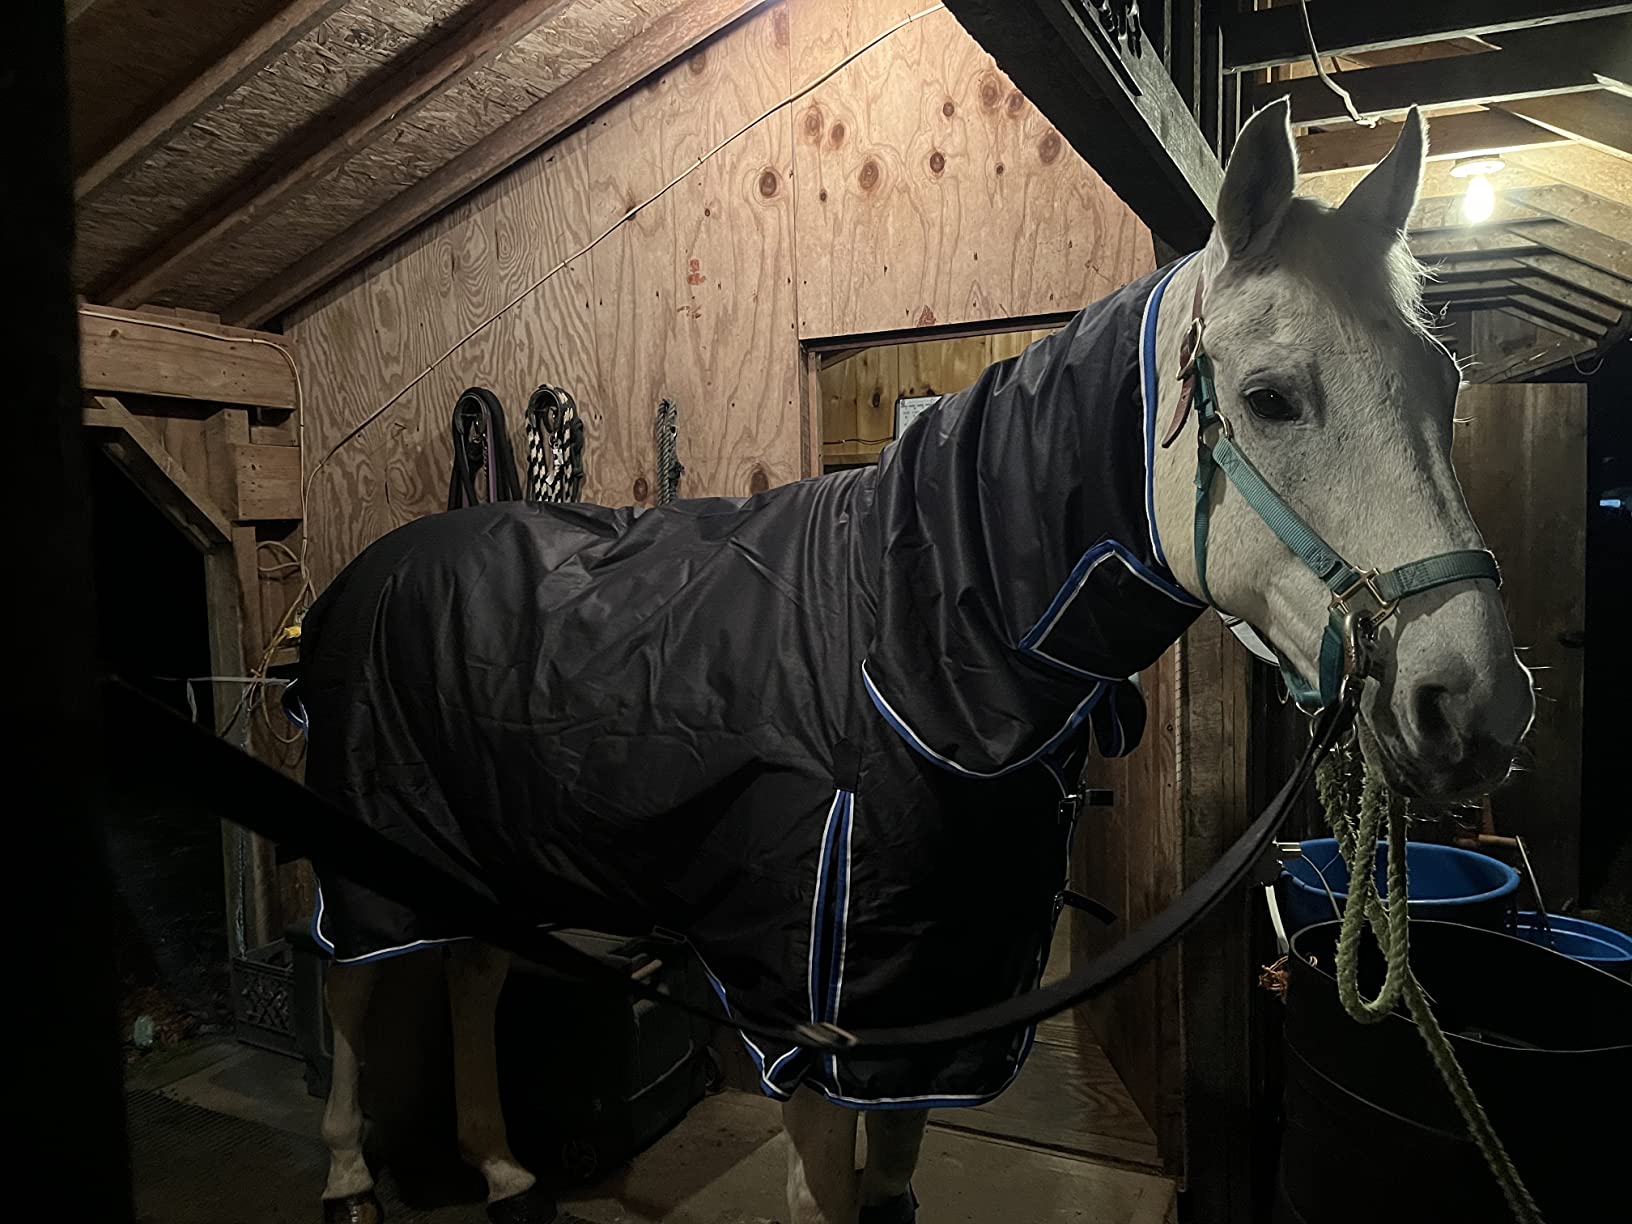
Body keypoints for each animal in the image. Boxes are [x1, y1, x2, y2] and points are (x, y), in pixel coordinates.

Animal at [297, 99, 1534, 1224]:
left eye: (1446, 382)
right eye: (1273, 399)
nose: (1475, 706)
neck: (915, 647)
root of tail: (372, 567)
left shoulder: (939, 1000)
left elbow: (893, 1190)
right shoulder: (823, 1018)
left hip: (487, 851)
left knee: (469, 973)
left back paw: (501, 1169)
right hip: (376, 849)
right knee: (353, 991)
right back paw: (351, 1178)